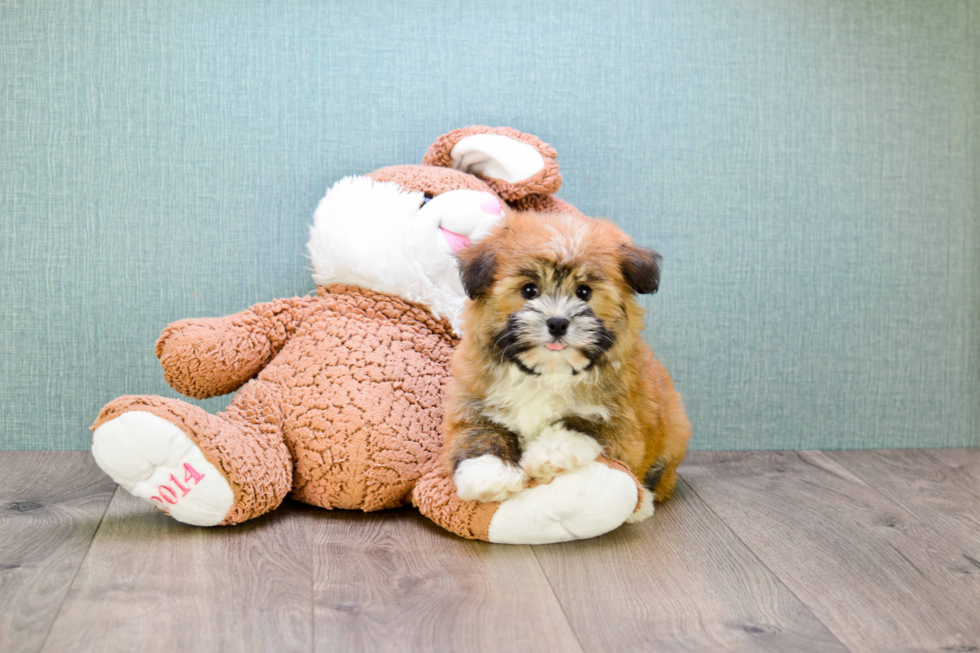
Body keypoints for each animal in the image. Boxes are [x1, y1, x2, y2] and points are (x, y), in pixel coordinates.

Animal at [442, 211, 688, 524]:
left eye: (584, 292)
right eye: (529, 290)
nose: (557, 323)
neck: (547, 372)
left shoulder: (623, 427)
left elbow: (581, 425)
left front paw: (547, 454)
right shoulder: (471, 405)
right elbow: (479, 436)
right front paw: (489, 475)